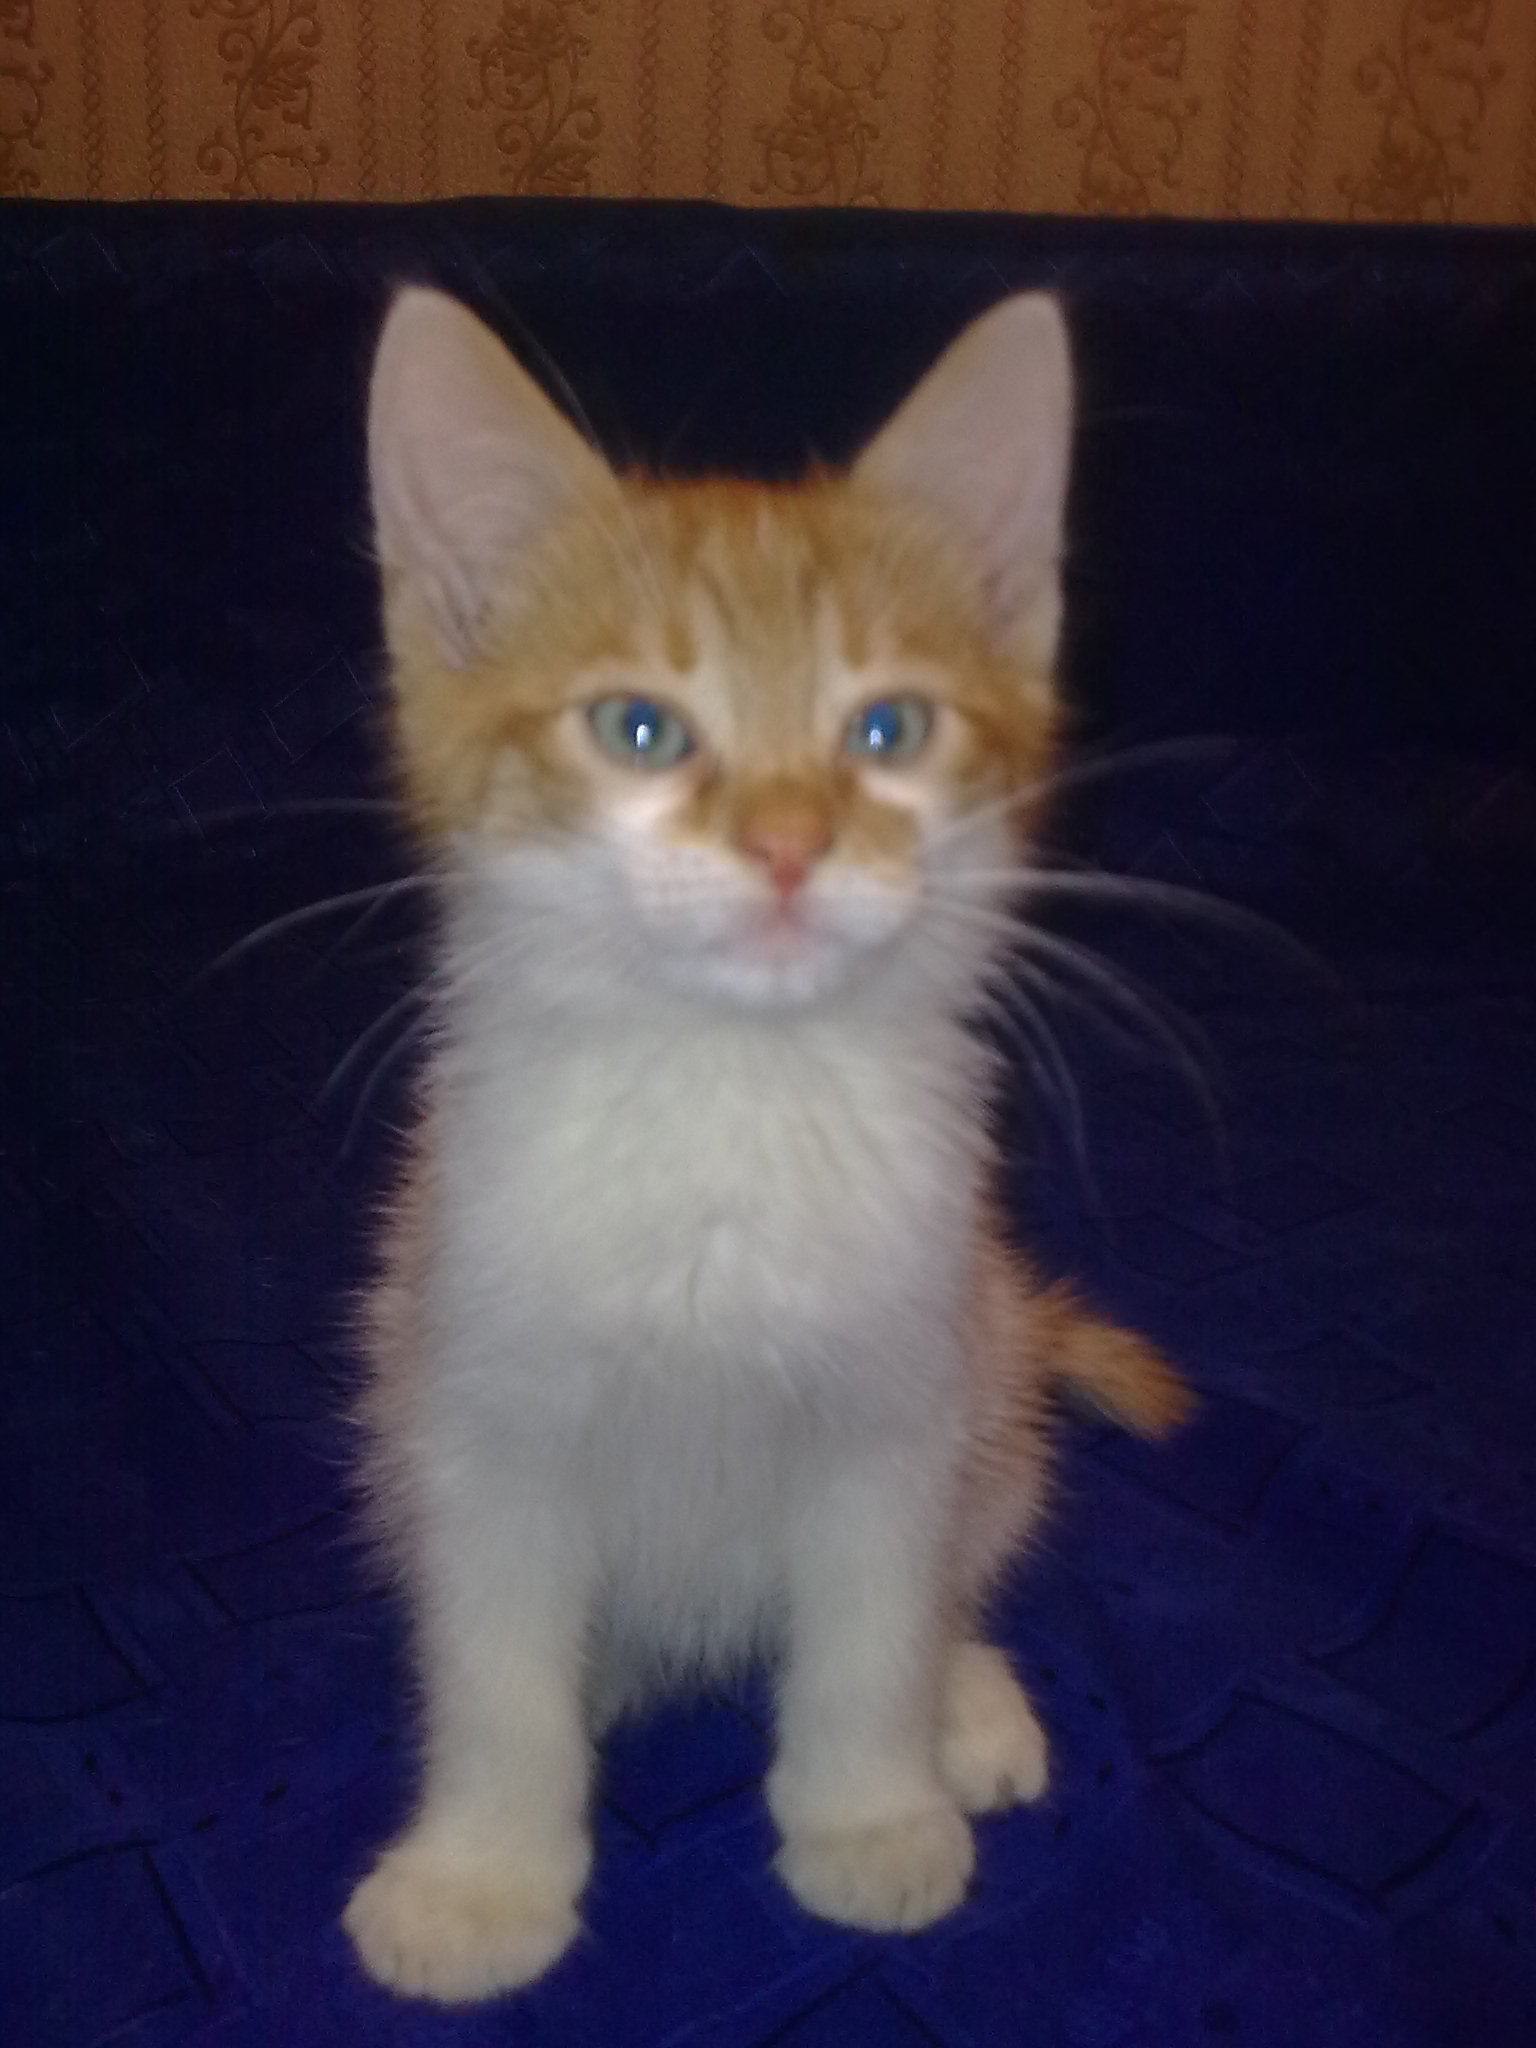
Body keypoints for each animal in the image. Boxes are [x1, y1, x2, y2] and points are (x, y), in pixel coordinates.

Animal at [341, 286, 1190, 2003]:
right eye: (638, 729)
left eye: (889, 727)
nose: (793, 843)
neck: (731, 1097)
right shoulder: (473, 1411)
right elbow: (494, 1668)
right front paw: (480, 1878)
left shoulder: (899, 1396)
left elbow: (872, 1623)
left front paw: (872, 1810)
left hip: (992, 1351)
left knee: (970, 1545)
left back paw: (965, 1697)